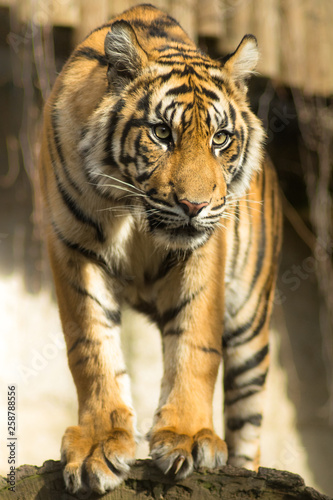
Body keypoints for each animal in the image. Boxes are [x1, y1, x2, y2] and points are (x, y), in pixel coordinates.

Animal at [39, 2, 282, 496]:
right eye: (161, 133)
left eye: (220, 138)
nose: (195, 205)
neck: (135, 211)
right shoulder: (72, 246)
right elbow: (91, 348)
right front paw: (98, 444)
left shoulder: (205, 253)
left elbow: (196, 344)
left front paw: (187, 436)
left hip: (251, 324)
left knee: (248, 423)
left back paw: (245, 473)